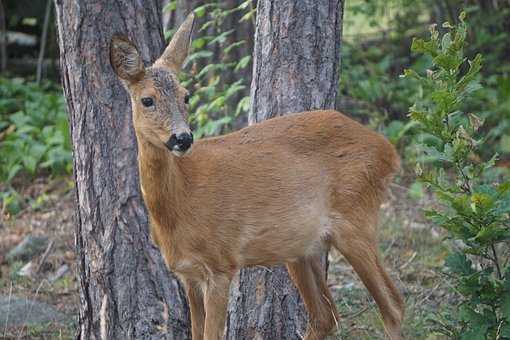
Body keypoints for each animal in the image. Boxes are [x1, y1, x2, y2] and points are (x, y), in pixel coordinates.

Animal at [109, 12, 404, 340]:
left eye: (186, 96)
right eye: (147, 100)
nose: (183, 138)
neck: (180, 203)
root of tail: (389, 151)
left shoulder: (221, 263)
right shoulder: (188, 274)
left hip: (355, 221)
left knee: (393, 306)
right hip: (301, 248)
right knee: (326, 316)